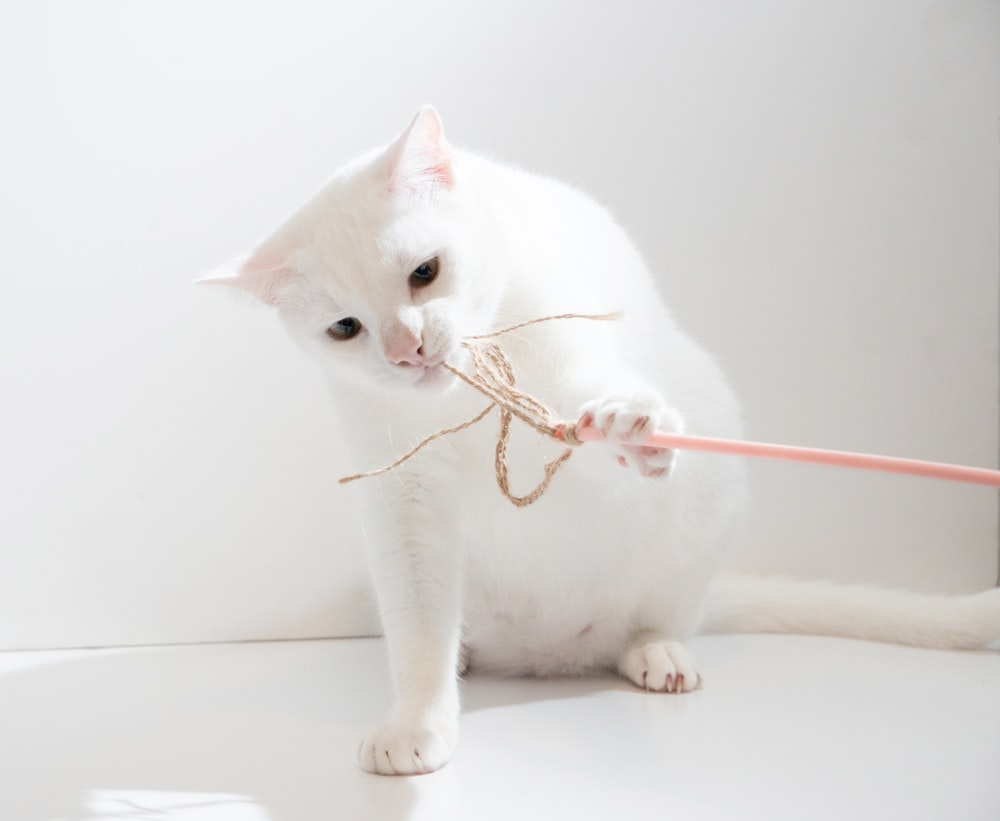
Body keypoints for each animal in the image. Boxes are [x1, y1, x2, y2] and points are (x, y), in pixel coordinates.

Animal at [203, 105, 1000, 772]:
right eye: (345, 328)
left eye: (424, 272)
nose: (407, 351)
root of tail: (545, 656)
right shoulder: (401, 499)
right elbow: (420, 632)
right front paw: (417, 720)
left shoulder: (570, 356)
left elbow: (590, 407)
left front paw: (630, 425)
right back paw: (469, 658)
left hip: (706, 507)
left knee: (657, 619)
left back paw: (660, 653)